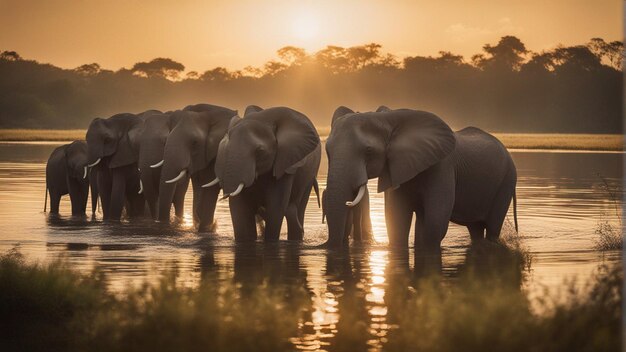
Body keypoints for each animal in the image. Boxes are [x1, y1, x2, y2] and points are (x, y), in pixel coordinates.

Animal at [155, 103, 235, 231]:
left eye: (195, 142)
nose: (163, 223)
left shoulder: (215, 155)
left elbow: (209, 187)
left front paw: (205, 228)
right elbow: (198, 186)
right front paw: (199, 225)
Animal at [216, 106, 322, 241]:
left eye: (260, 151)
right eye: (226, 147)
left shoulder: (286, 162)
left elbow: (276, 206)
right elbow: (239, 208)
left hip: (310, 174)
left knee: (300, 206)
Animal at [322, 106, 516, 249]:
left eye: (368, 151)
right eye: (327, 151)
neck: (388, 120)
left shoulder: (441, 167)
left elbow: (435, 224)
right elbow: (397, 222)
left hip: (507, 180)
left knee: (492, 227)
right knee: (475, 229)